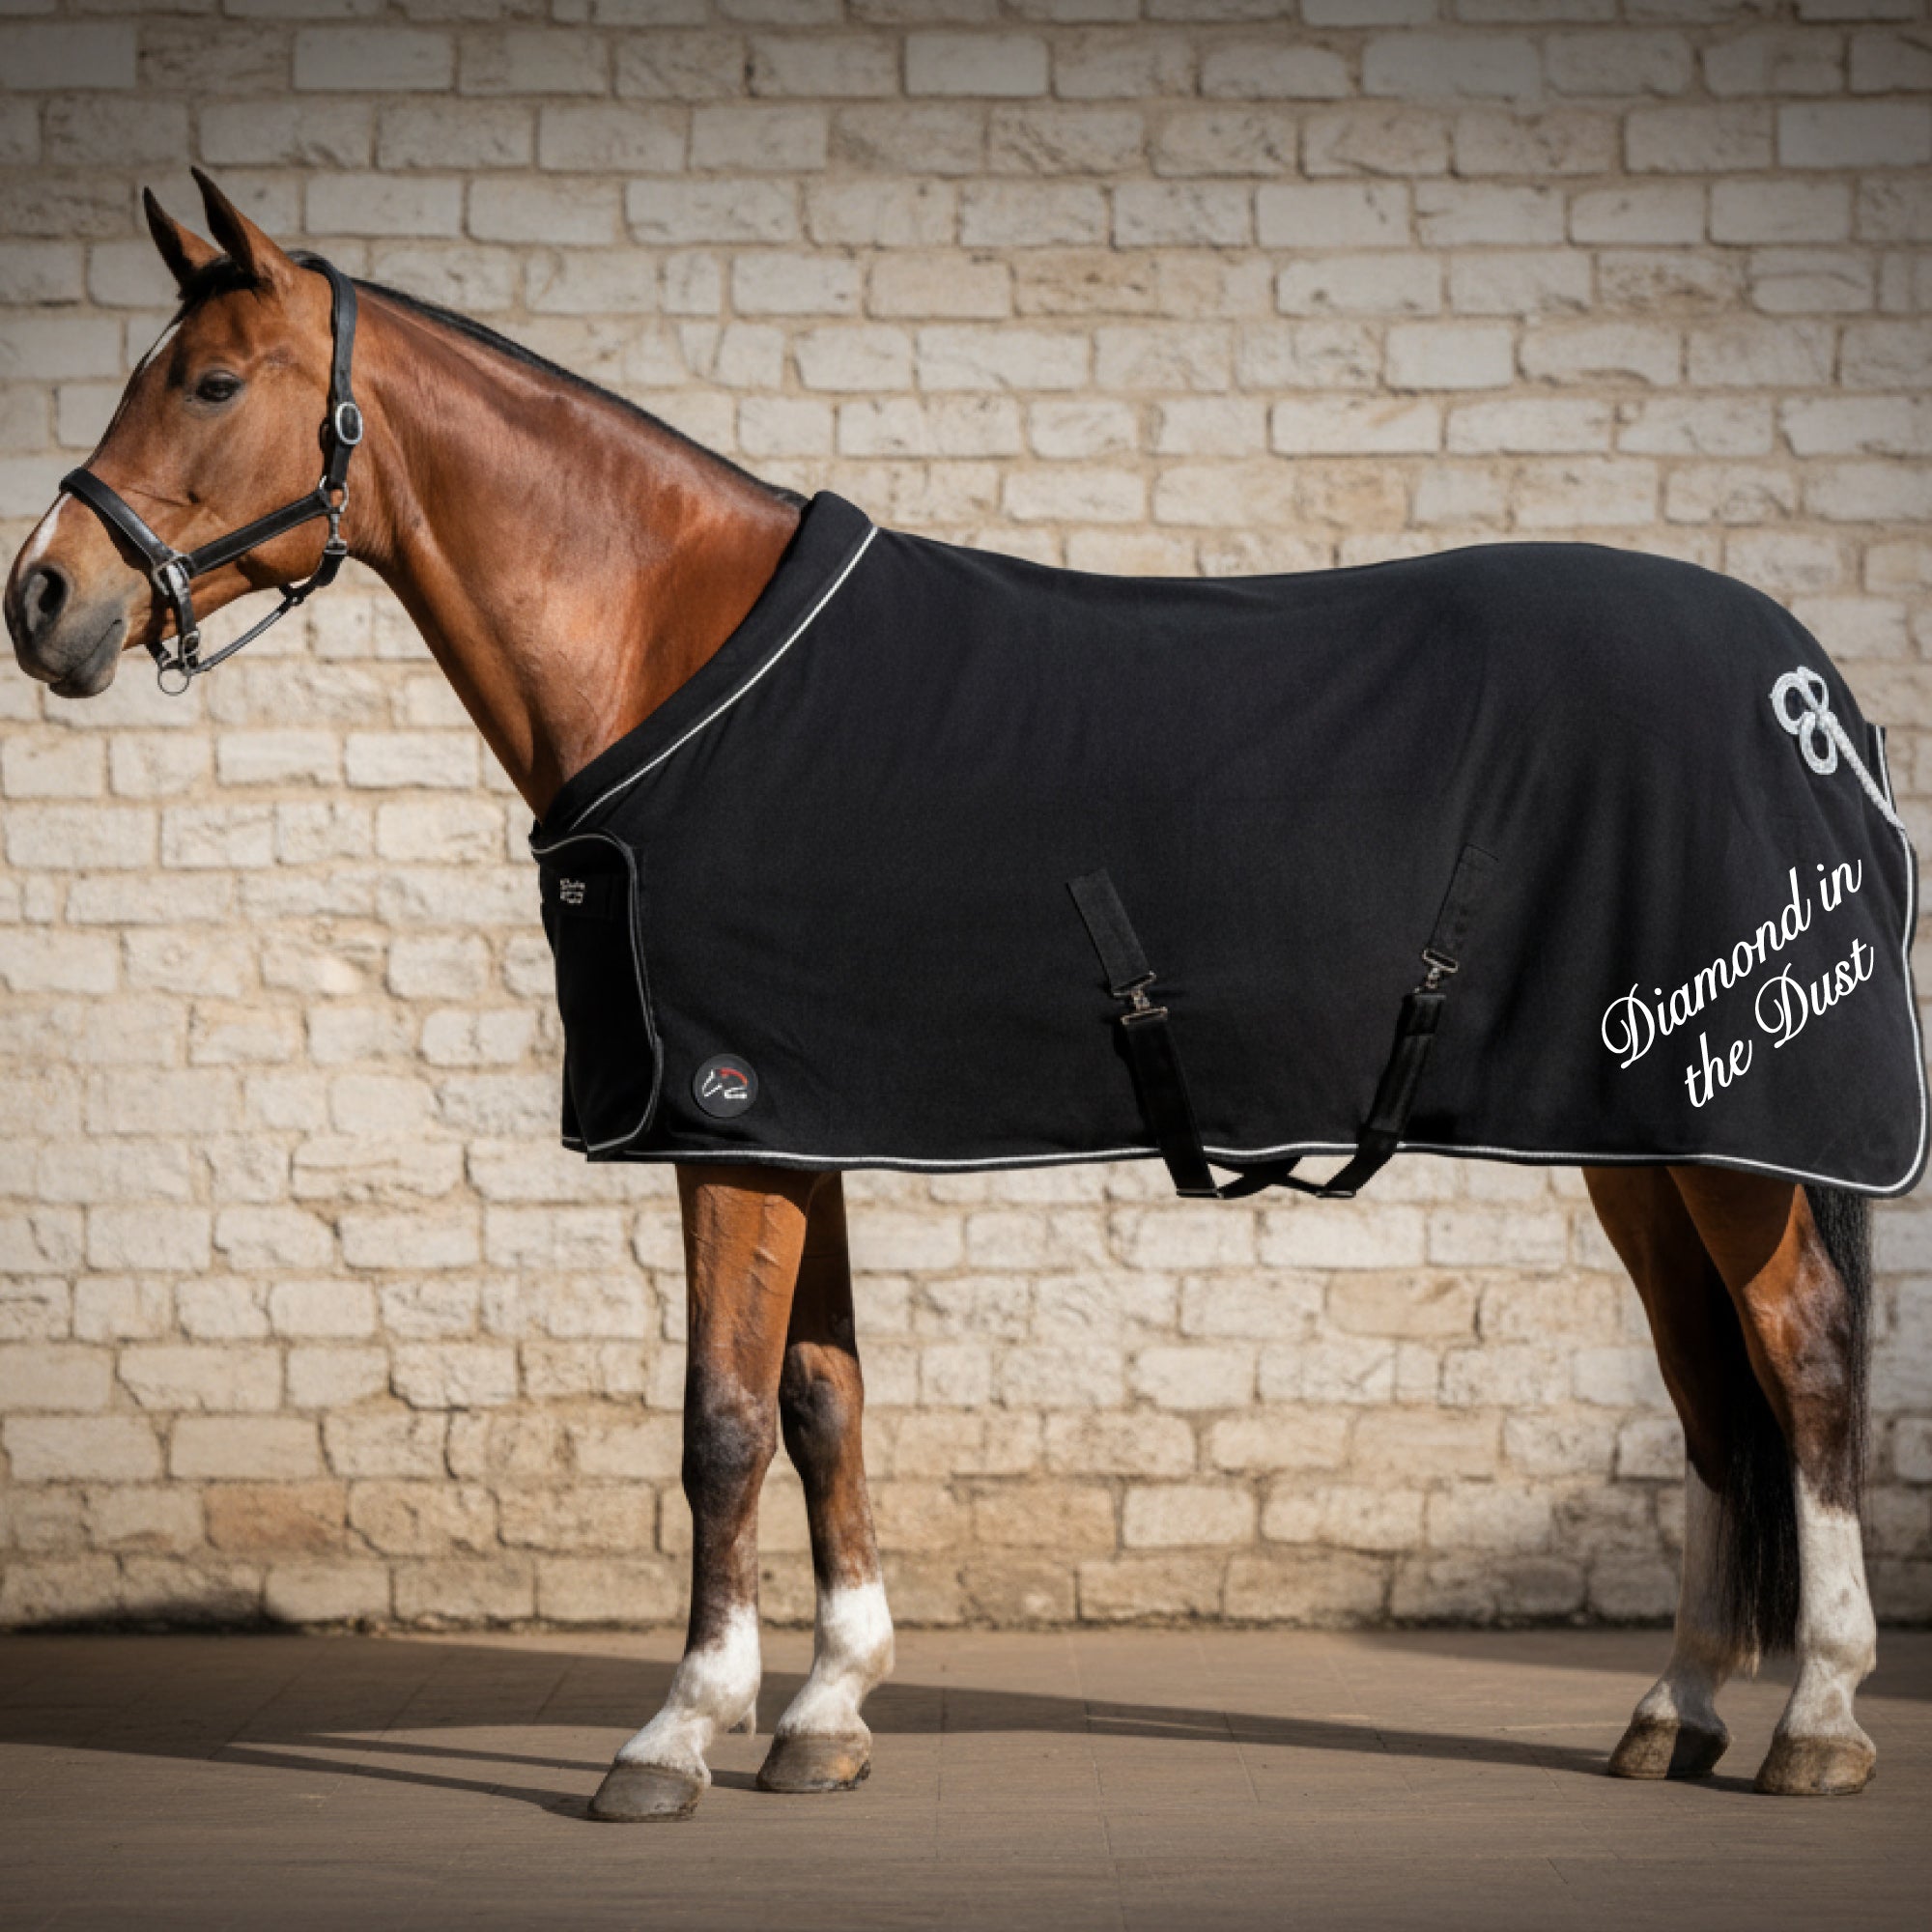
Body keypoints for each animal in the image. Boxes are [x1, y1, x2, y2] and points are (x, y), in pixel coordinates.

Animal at [3, 174, 1894, 1817]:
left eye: (211, 380)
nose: (43, 597)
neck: (673, 640)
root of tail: (1812, 693)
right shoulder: (790, 1112)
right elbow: (824, 1398)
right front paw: (827, 1710)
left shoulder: (729, 1127)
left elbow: (720, 1424)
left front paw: (675, 1735)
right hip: (1633, 1136)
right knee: (1707, 1393)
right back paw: (1676, 1711)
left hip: (1728, 1135)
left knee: (1799, 1364)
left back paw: (1816, 1720)